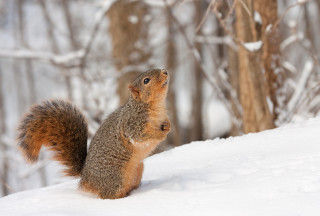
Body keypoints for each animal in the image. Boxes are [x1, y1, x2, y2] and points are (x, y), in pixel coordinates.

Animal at [18, 68, 170, 198]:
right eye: (146, 80)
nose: (165, 71)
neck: (156, 106)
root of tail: (85, 177)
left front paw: (168, 127)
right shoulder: (132, 124)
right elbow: (139, 136)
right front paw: (160, 135)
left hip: (138, 170)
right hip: (116, 178)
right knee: (107, 195)